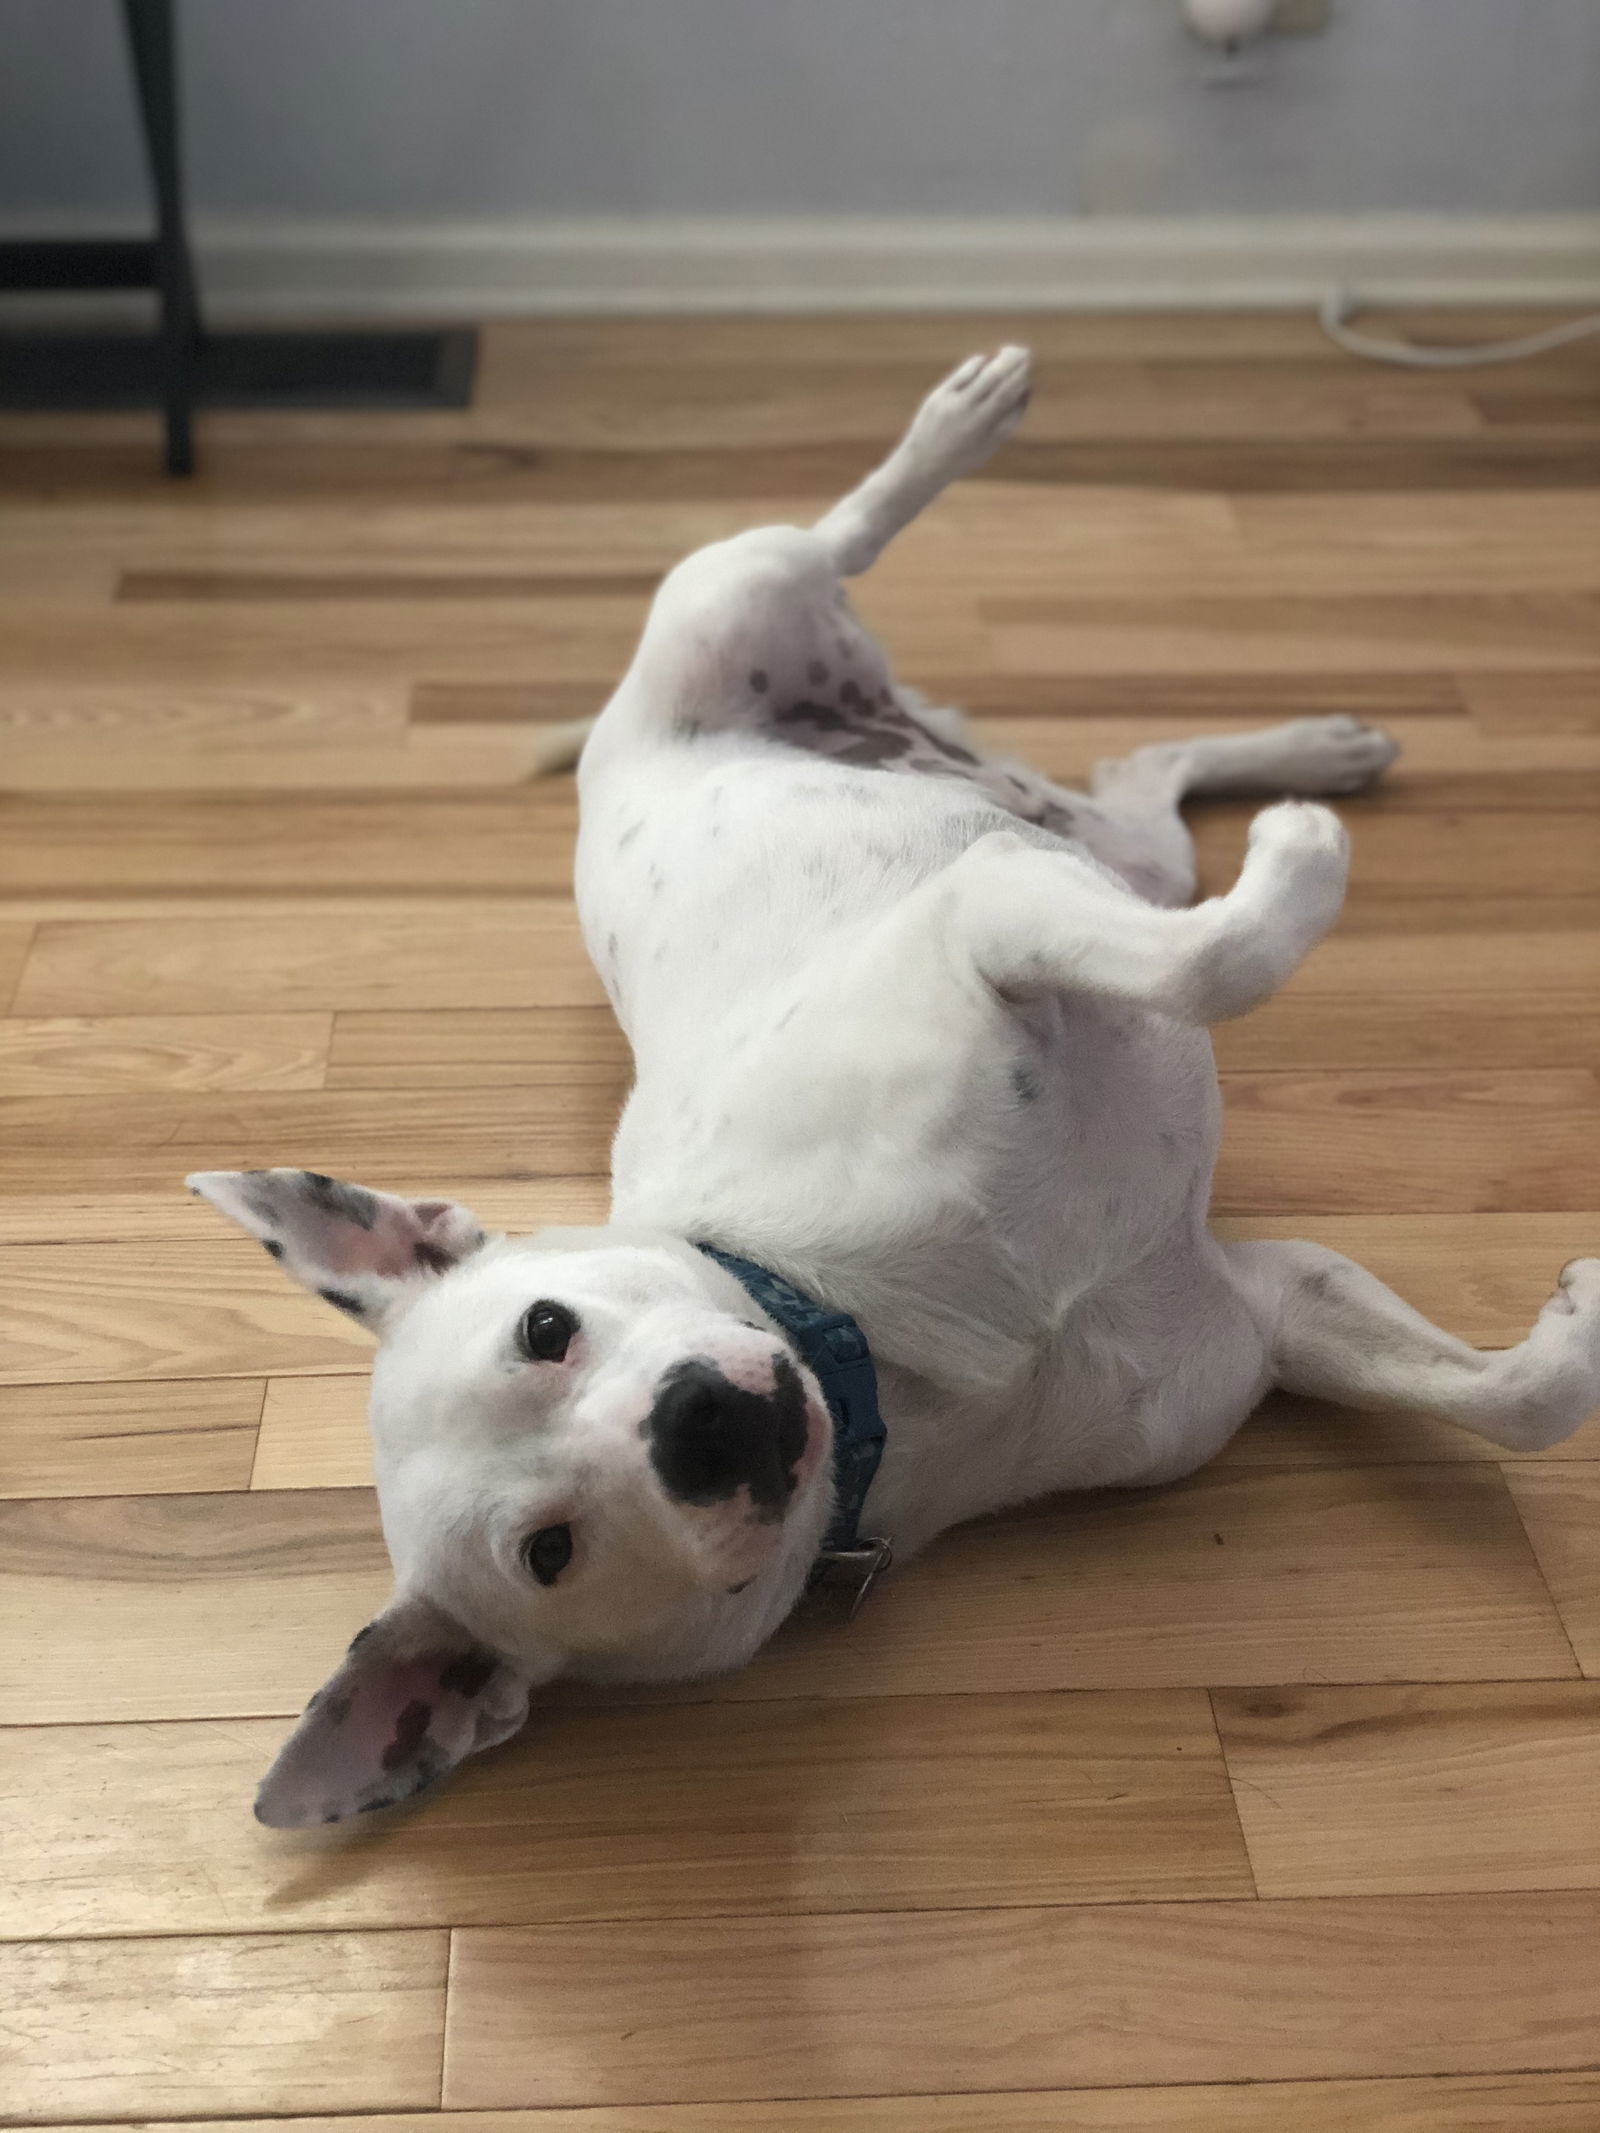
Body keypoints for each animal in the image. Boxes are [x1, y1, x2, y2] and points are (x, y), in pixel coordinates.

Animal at [190, 354, 1600, 1834]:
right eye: (550, 1550)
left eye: (544, 1325)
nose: (695, 1428)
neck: (884, 1346)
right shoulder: (1261, 1308)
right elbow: (1515, 1397)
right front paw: (1573, 1311)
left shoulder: (986, 915)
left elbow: (1218, 962)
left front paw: (1301, 868)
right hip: (1091, 840)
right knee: (1136, 784)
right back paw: (1311, 760)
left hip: (741, 611)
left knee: (845, 540)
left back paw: (986, 439)